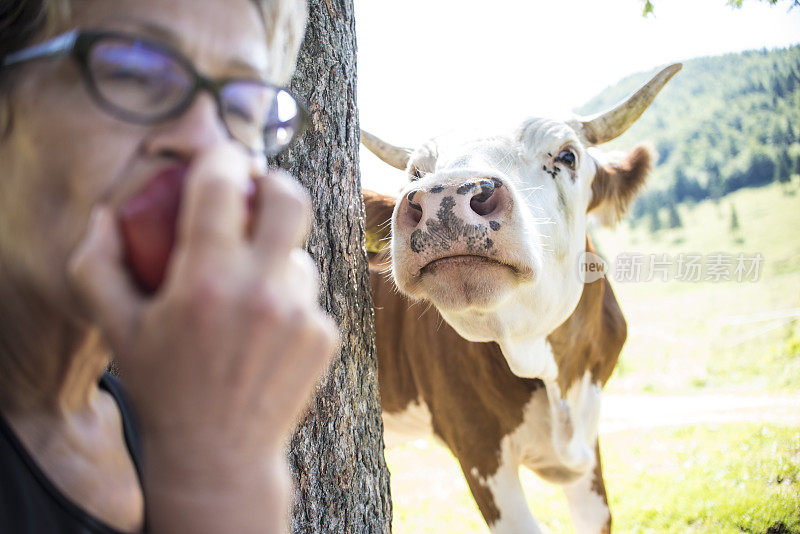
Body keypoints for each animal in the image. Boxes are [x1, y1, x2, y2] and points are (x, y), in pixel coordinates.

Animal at [362, 63, 680, 534]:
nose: (445, 195)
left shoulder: (589, 436)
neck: (554, 374)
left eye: (566, 156)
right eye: (416, 173)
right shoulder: (476, 442)